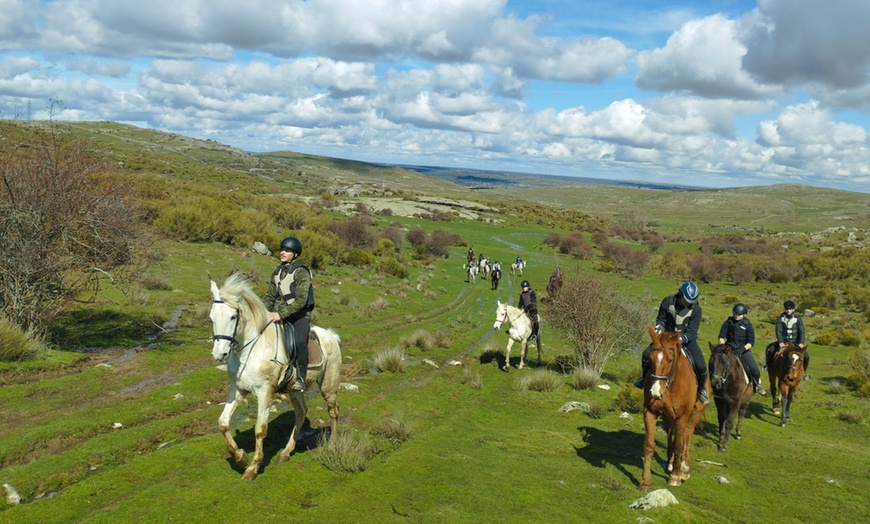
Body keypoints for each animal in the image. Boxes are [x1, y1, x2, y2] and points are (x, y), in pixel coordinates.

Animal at [209, 273, 342, 480]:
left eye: (233, 316)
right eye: (211, 318)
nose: (219, 354)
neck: (252, 348)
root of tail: (331, 337)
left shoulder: (265, 392)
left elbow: (260, 430)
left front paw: (252, 468)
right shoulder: (238, 389)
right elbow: (223, 423)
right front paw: (240, 458)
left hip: (328, 386)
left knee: (333, 411)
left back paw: (333, 444)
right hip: (295, 390)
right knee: (301, 412)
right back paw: (286, 452)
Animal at [640, 326, 708, 492]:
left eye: (670, 360)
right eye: (650, 359)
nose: (655, 392)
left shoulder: (682, 417)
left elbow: (679, 444)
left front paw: (676, 477)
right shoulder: (650, 412)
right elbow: (649, 445)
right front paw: (645, 481)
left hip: (694, 413)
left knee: (687, 435)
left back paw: (683, 467)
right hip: (668, 416)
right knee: (671, 432)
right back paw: (671, 463)